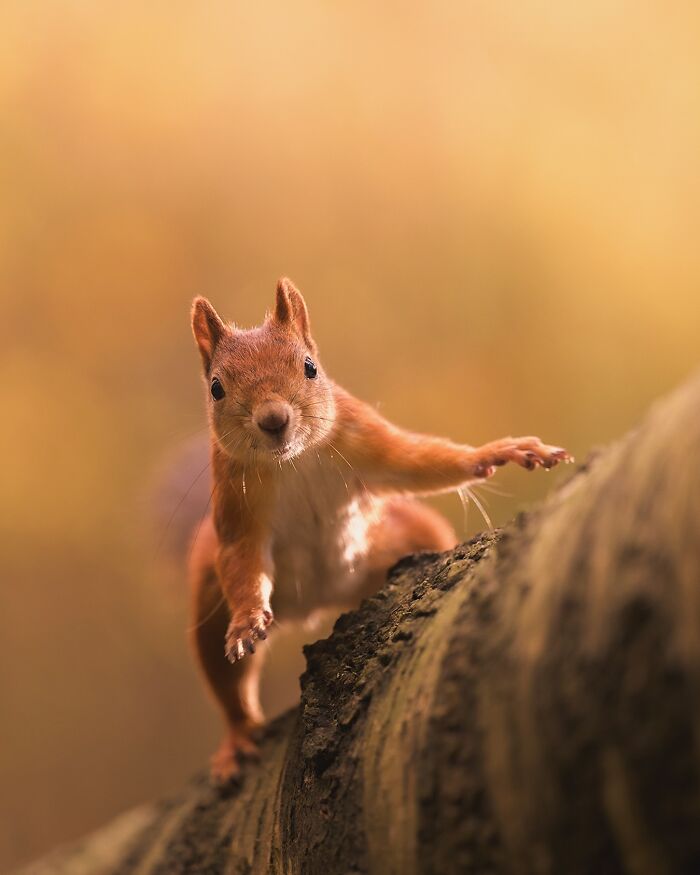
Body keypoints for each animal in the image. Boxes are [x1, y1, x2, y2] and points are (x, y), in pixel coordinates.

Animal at [188, 277, 572, 782]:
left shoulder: (363, 435)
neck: (293, 461)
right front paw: (247, 619)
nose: (273, 419)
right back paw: (237, 736)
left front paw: (501, 450)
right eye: (216, 388)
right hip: (208, 604)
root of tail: (319, 600)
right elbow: (242, 560)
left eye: (310, 368)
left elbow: (418, 462)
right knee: (227, 683)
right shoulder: (235, 505)